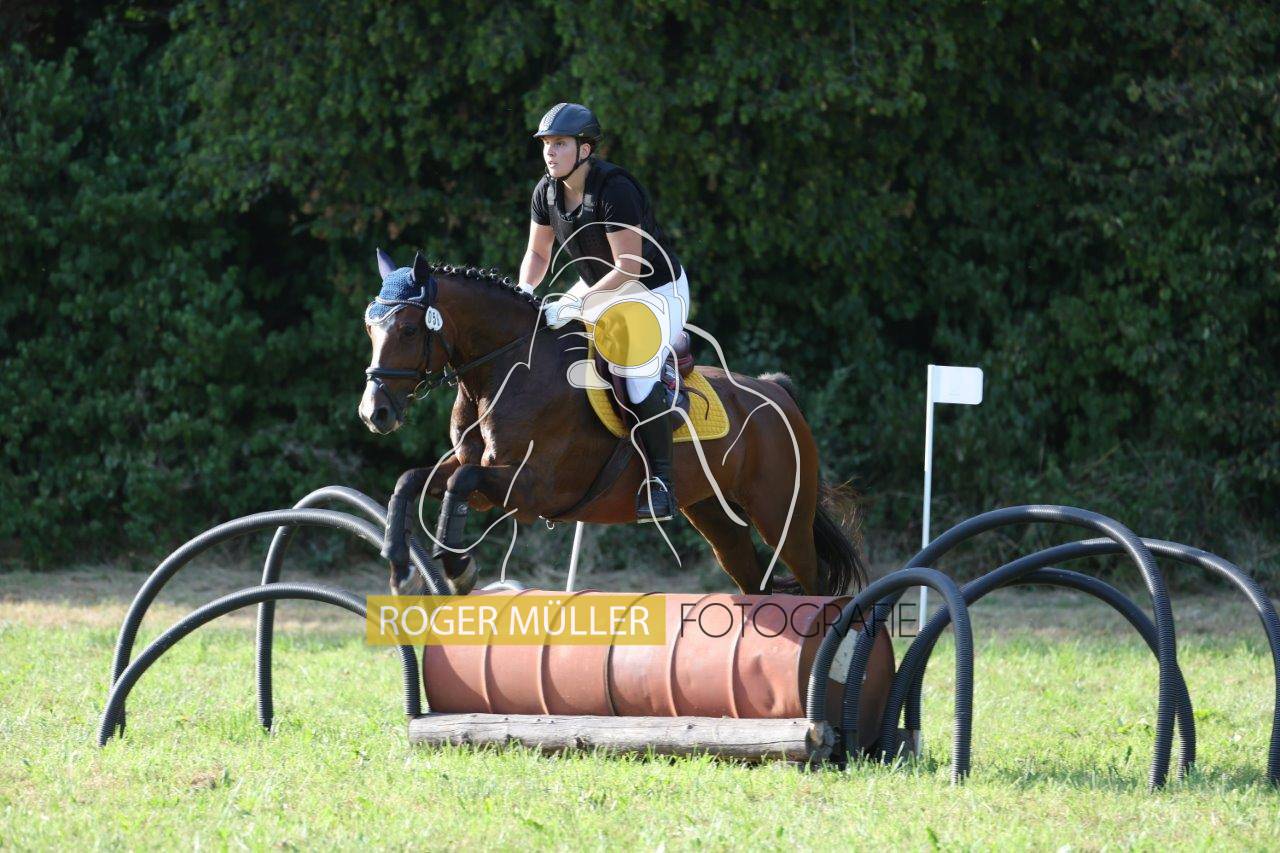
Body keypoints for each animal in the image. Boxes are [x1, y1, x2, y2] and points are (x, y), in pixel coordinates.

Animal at [358, 251, 867, 598]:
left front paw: (456, 567)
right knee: (754, 579)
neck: (505, 370)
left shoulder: (530, 488)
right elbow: (412, 480)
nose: (373, 413)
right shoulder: (483, 476)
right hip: (714, 513)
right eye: (369, 329)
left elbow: (460, 481)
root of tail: (774, 389)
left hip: (781, 512)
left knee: (814, 581)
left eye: (408, 330)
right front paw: (401, 568)